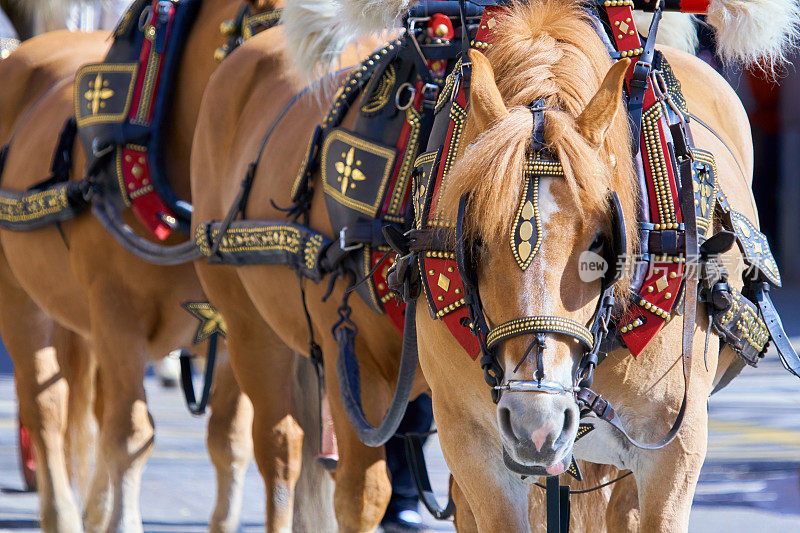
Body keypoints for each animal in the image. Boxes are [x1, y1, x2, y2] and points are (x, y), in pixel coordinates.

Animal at [0, 2, 334, 528]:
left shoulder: (236, 326)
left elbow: (231, 440)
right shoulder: (117, 314)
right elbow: (131, 432)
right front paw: (122, 520)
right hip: (20, 300)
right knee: (46, 407)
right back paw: (64, 514)